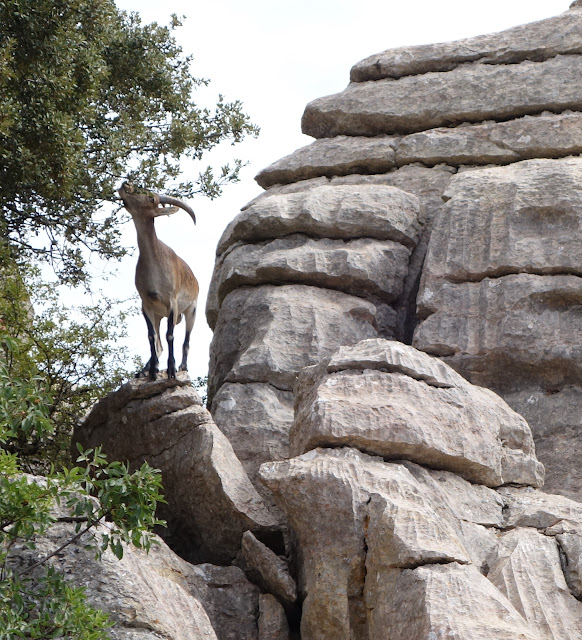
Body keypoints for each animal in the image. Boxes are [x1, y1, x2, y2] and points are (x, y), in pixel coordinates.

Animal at [118, 181, 201, 380]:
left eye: (151, 199)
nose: (127, 184)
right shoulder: (146, 303)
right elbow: (151, 336)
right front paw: (153, 372)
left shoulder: (172, 302)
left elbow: (170, 335)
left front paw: (171, 369)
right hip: (158, 315)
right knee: (158, 343)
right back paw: (145, 369)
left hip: (191, 310)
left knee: (186, 340)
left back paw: (183, 366)